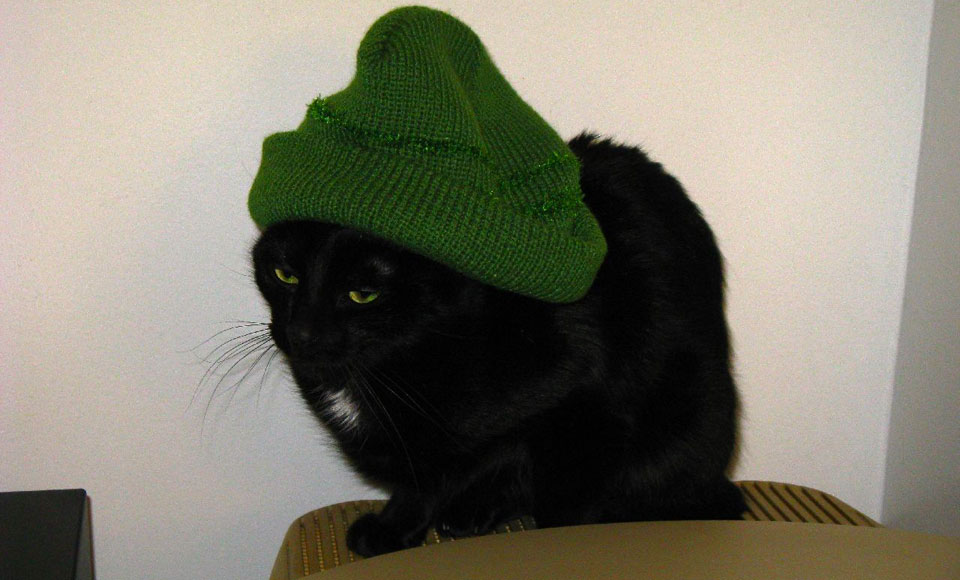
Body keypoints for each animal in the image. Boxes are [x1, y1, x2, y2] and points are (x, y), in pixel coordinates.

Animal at [253, 133, 744, 556]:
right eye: (284, 274)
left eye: (362, 294)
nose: (302, 333)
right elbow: (442, 470)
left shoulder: (584, 402)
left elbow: (544, 496)